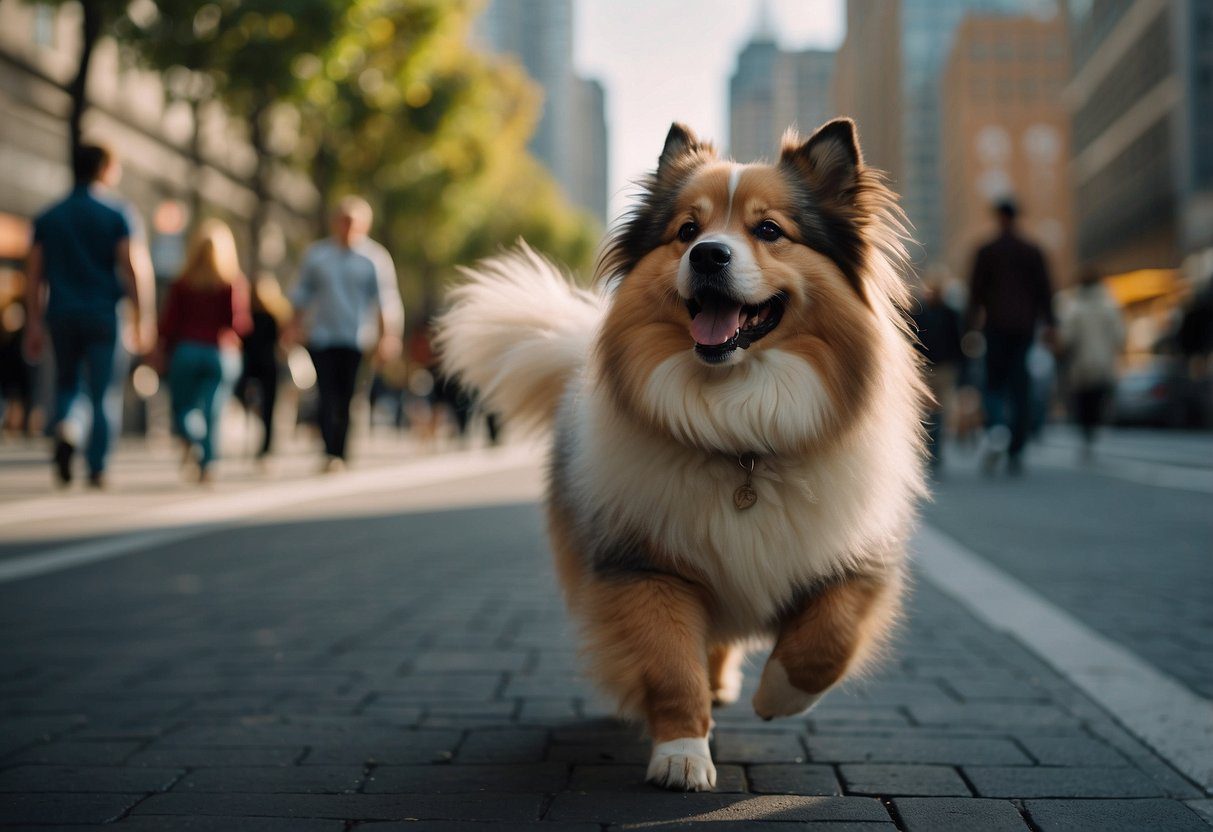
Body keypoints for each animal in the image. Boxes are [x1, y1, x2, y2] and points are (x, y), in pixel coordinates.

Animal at [441, 120, 921, 790]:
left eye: (769, 230)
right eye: (687, 232)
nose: (709, 255)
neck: (741, 440)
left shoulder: (858, 559)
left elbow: (826, 643)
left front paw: (775, 696)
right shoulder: (647, 566)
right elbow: (670, 666)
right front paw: (681, 754)